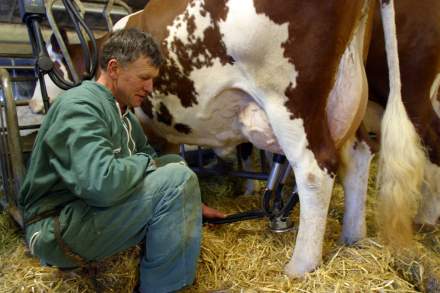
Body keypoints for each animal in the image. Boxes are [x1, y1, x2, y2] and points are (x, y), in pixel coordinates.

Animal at [27, 0, 420, 278]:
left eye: (50, 69)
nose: (31, 104)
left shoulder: (150, 125)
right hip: (347, 93)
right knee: (359, 156)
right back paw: (354, 238)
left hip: (291, 99)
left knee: (314, 170)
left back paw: (300, 266)